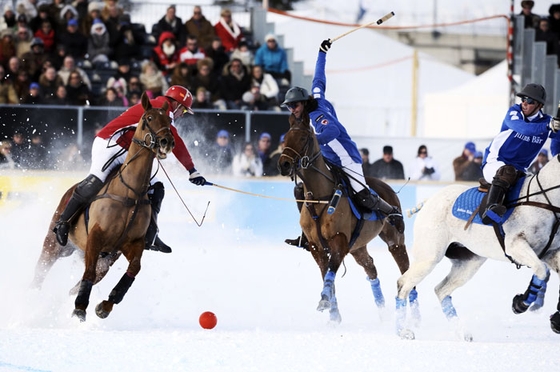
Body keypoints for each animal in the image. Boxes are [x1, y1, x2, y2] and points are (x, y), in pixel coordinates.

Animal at [31, 91, 175, 322]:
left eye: (169, 121)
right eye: (149, 118)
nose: (166, 142)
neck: (130, 192)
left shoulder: (131, 244)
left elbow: (134, 269)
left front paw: (105, 305)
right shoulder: (95, 238)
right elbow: (88, 273)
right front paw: (80, 308)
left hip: (101, 259)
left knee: (80, 281)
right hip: (54, 244)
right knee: (40, 272)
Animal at [278, 115, 418, 322]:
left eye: (303, 138)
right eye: (286, 137)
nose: (284, 165)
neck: (320, 196)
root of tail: (389, 188)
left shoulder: (339, 241)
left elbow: (330, 273)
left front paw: (325, 302)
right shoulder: (316, 247)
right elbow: (327, 276)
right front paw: (334, 315)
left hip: (395, 241)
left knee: (406, 269)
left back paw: (416, 317)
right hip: (358, 247)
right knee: (371, 268)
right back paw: (382, 311)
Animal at [394, 154, 560, 340]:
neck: (545, 200)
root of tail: (429, 200)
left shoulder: (550, 252)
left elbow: (544, 270)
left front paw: (555, 320)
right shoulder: (515, 245)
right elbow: (541, 270)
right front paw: (520, 303)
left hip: (469, 262)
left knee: (441, 290)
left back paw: (462, 332)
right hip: (429, 256)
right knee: (403, 284)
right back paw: (403, 331)